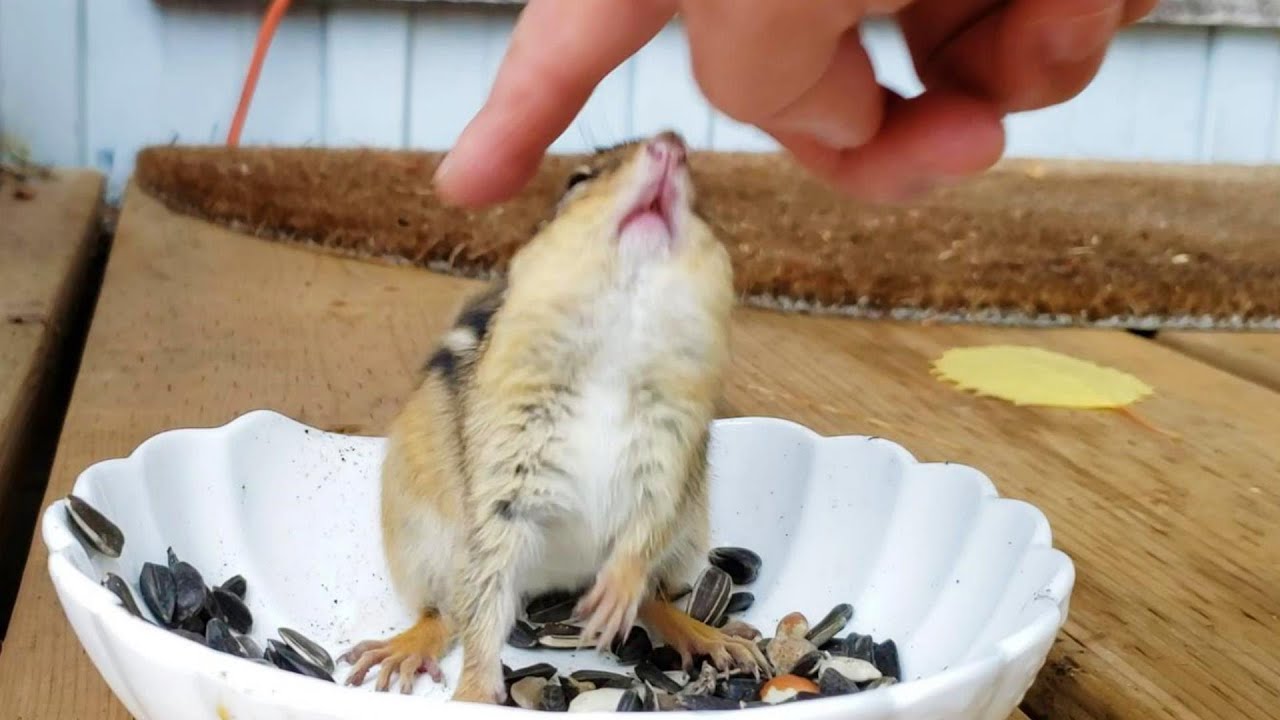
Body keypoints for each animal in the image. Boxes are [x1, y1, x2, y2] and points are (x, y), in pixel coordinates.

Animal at [340, 130, 765, 704]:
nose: (671, 143)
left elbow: (645, 532)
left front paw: (619, 588)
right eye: (577, 179)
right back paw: (408, 645)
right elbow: (486, 597)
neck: (614, 353)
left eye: (699, 203)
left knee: (656, 597)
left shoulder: (670, 457)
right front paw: (474, 694)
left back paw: (702, 633)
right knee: (446, 612)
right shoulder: (505, 481)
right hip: (419, 548)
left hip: (689, 538)